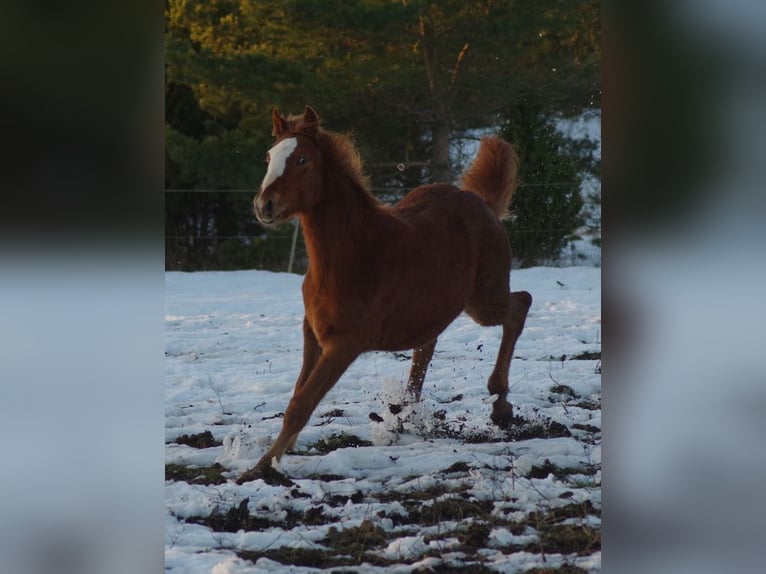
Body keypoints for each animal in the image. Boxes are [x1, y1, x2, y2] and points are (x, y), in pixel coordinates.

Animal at [248, 106, 536, 484]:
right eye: (269, 157)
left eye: (301, 159)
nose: (263, 205)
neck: (352, 255)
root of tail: (483, 204)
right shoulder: (312, 334)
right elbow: (298, 393)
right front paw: (282, 450)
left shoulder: (344, 344)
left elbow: (301, 403)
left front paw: (261, 466)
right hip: (434, 310)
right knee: (426, 347)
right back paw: (406, 413)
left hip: (484, 300)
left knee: (520, 304)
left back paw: (500, 403)